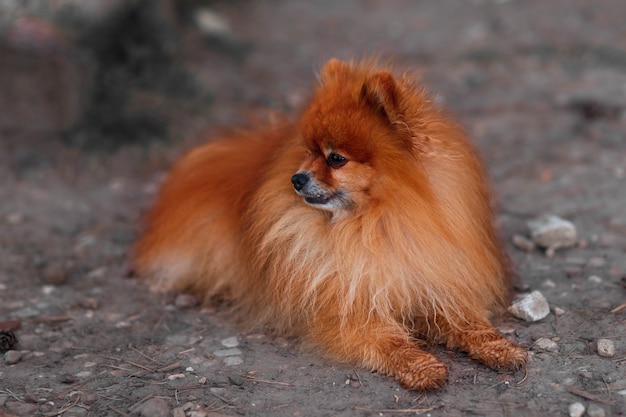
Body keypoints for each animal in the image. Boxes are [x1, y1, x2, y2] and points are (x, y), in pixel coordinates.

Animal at [134, 58, 524, 390]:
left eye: (336, 158)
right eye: (309, 151)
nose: (296, 178)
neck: (377, 224)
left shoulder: (431, 280)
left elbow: (467, 321)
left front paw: (500, 347)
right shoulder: (351, 305)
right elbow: (390, 341)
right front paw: (420, 366)